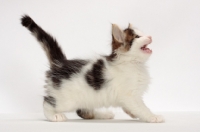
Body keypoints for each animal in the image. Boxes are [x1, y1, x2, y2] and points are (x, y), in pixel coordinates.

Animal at [20, 15, 164, 122]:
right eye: (138, 37)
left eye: (143, 33)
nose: (150, 36)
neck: (133, 63)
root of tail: (60, 62)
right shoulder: (130, 95)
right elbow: (142, 107)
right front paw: (153, 116)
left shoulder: (128, 97)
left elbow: (133, 107)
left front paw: (133, 114)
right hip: (65, 99)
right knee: (47, 102)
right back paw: (54, 115)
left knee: (82, 112)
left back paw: (103, 115)